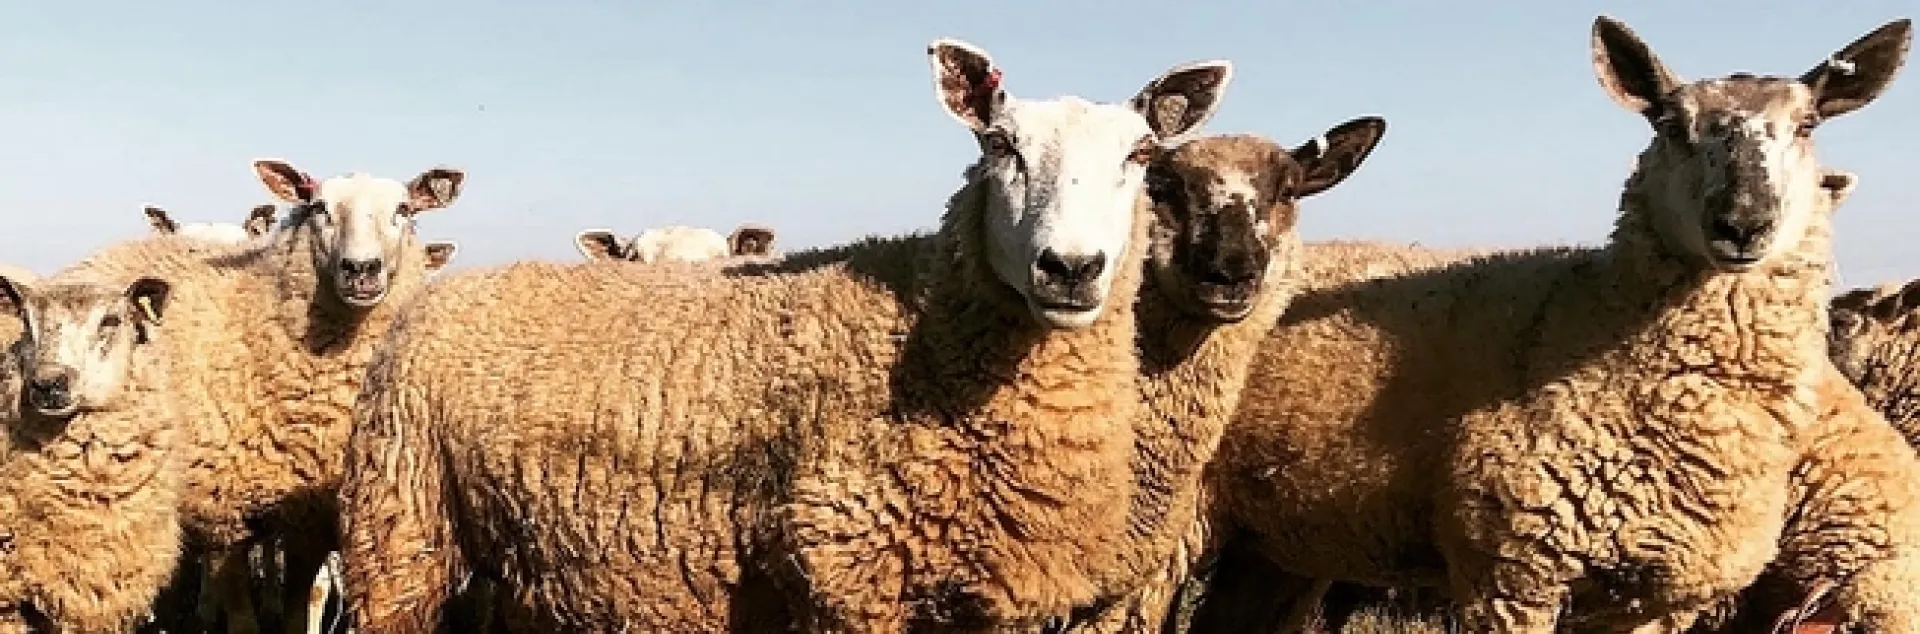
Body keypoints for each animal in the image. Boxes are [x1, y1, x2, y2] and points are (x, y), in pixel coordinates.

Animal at [334, 38, 1232, 633]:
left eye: (1141, 155)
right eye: (999, 144)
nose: (1071, 267)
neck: (926, 333)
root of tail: (458, 289)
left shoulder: (993, 598)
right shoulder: (848, 574)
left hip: (510, 560)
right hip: (400, 528)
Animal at [1177, 15, 1920, 633]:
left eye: (1808, 125)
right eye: (1669, 125)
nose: (1741, 222)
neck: (1594, 323)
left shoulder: (1656, 601)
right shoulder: (1510, 571)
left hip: (1281, 541)